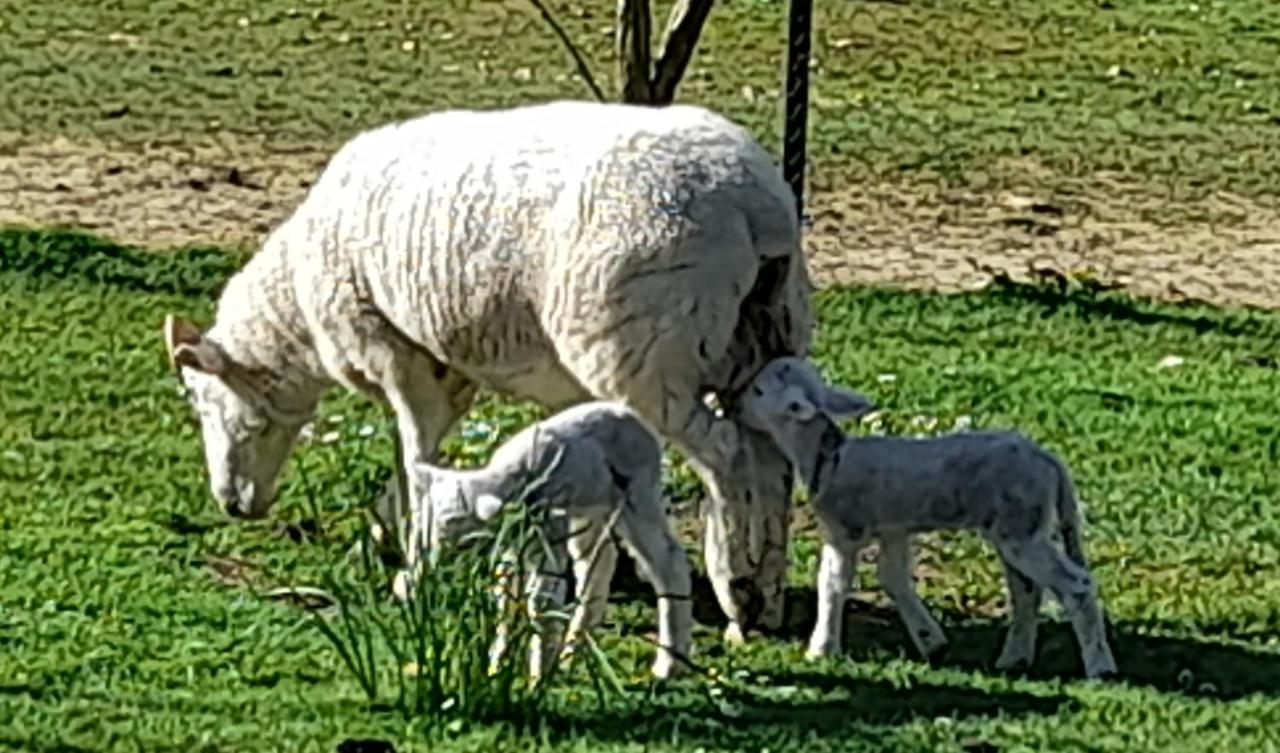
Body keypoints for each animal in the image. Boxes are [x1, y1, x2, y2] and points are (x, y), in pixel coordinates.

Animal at [160, 98, 808, 640]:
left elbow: (416, 452)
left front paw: (409, 562)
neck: (297, 302)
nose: (231, 503)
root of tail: (754, 202)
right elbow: (414, 453)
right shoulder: (446, 364)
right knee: (772, 460)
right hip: (764, 340)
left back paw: (736, 590)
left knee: (726, 456)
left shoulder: (392, 350)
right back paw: (770, 591)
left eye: (204, 402)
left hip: (648, 355)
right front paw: (383, 535)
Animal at [394, 399, 696, 681]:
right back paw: (572, 652)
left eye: (456, 533)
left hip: (636, 495)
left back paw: (669, 663)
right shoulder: (513, 546)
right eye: (420, 531)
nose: (423, 570)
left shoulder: (546, 536)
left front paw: (537, 677)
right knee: (598, 563)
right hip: (590, 506)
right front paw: (497, 664)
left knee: (668, 562)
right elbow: (505, 598)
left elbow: (541, 601)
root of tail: (634, 417)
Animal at [737, 356, 1116, 681]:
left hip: (1023, 531)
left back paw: (1100, 667)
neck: (827, 458)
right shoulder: (894, 528)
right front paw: (931, 640)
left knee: (1077, 586)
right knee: (1027, 591)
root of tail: (1051, 462)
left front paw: (821, 649)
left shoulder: (845, 529)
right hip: (1015, 529)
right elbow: (893, 578)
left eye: (759, 391)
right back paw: (1014, 658)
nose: (736, 405)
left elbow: (832, 583)